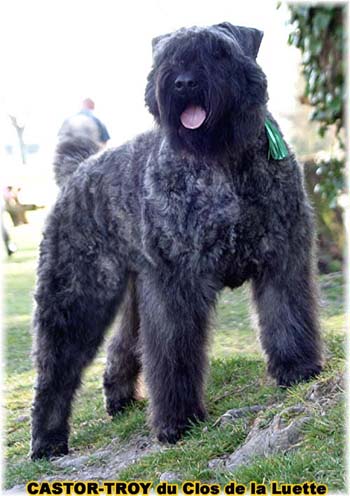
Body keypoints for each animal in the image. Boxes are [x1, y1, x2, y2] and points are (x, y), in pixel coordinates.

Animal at [30, 21, 322, 460]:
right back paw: (47, 440)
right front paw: (177, 423)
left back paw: (119, 399)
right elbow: (171, 354)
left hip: (132, 290)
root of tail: (77, 171)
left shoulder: (282, 257)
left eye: (218, 51)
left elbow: (287, 316)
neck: (222, 160)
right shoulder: (175, 285)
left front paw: (298, 371)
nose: (183, 82)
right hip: (76, 295)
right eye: (166, 56)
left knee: (122, 344)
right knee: (56, 369)